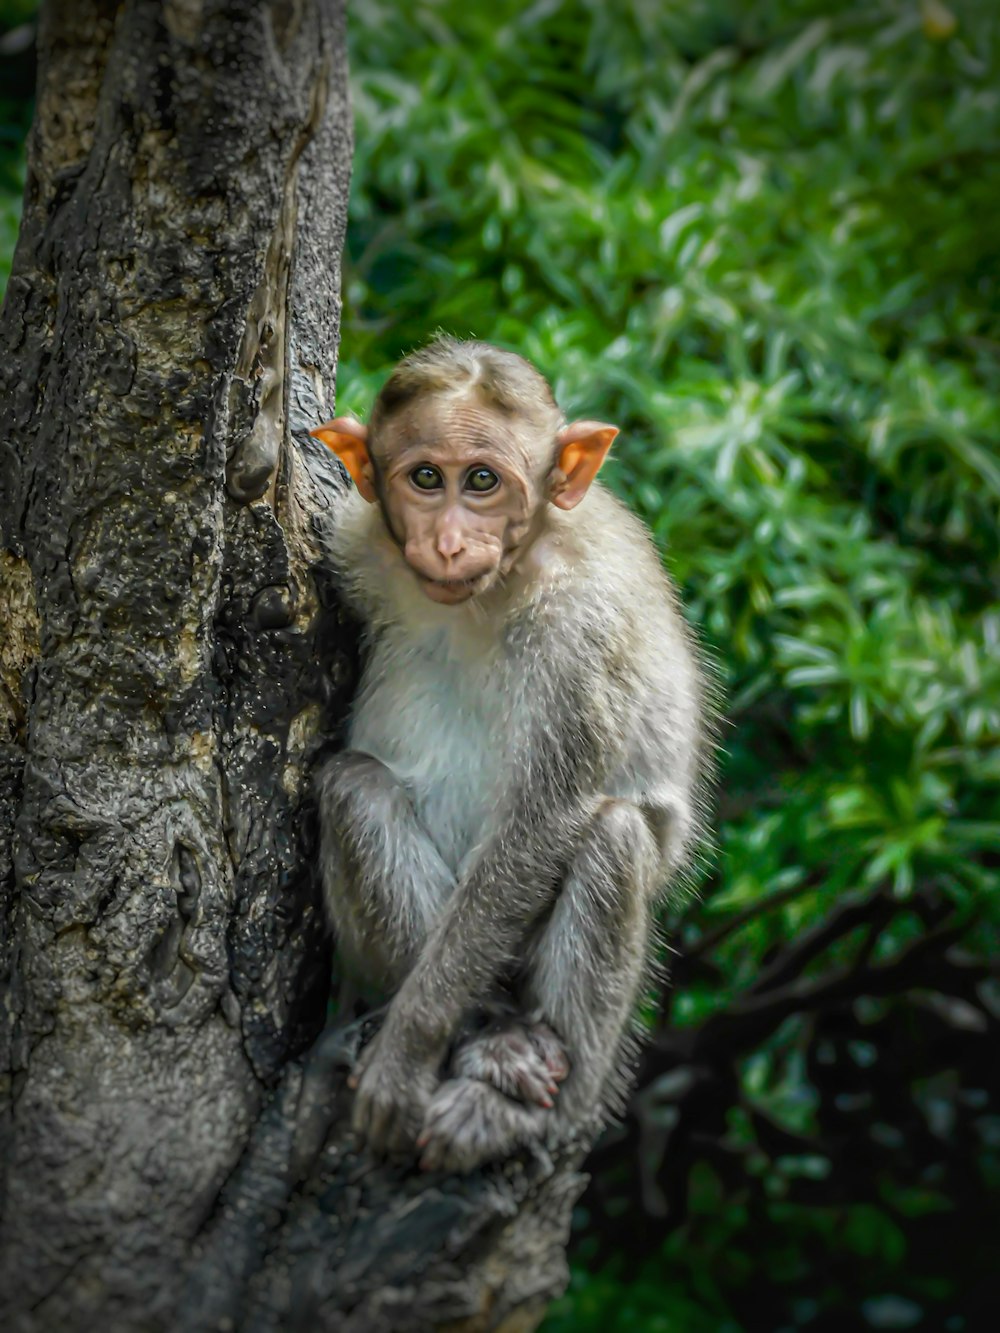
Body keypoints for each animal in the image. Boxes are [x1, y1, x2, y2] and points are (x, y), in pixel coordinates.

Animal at [309, 338, 709, 1173]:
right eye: (428, 477)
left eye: (483, 481)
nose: (450, 540)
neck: (498, 583)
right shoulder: (354, 535)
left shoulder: (583, 627)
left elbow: (542, 822)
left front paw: (408, 1053)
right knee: (355, 787)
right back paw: (490, 1033)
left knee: (612, 835)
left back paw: (522, 1103)